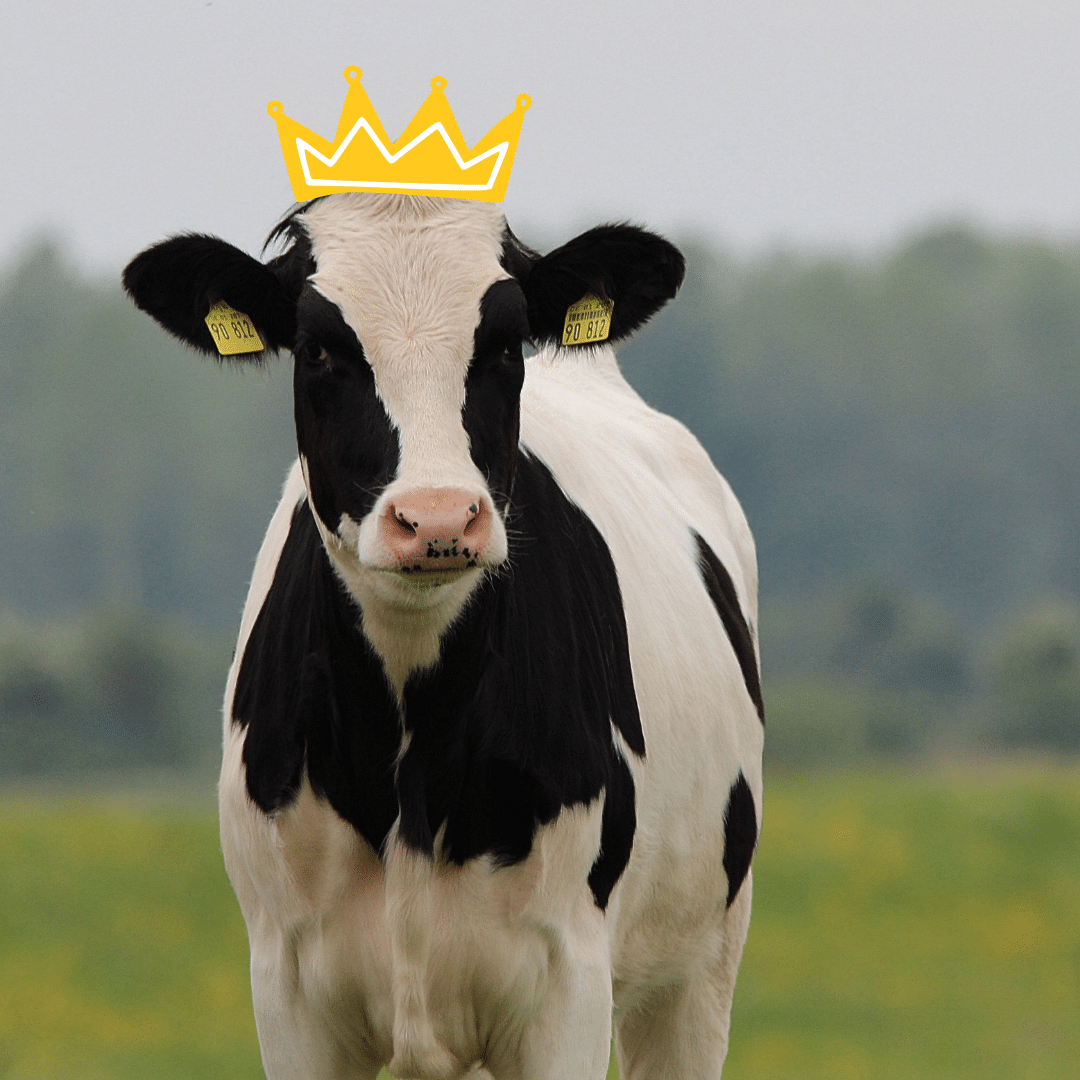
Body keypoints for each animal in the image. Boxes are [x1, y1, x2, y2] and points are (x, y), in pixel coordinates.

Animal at [122, 193, 763, 1080]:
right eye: (320, 348)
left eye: (503, 343)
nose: (435, 519)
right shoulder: (286, 989)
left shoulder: (568, 983)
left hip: (699, 969)